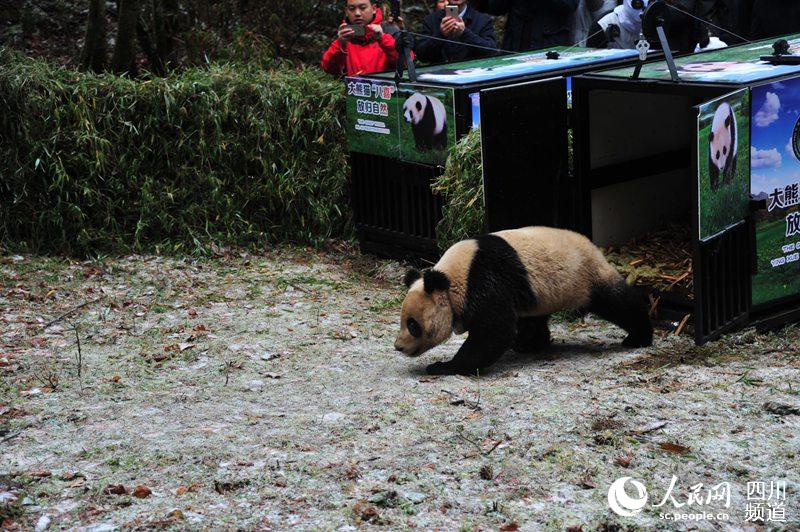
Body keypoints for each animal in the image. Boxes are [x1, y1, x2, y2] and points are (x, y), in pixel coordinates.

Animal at [393, 227, 653, 376]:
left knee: (616, 301)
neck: (452, 278)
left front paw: (444, 366)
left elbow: (494, 331)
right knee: (534, 318)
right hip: (541, 291)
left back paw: (639, 336)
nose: (398, 346)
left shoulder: (484, 278)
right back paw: (529, 344)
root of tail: (594, 247)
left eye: (413, 325)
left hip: (583, 275)